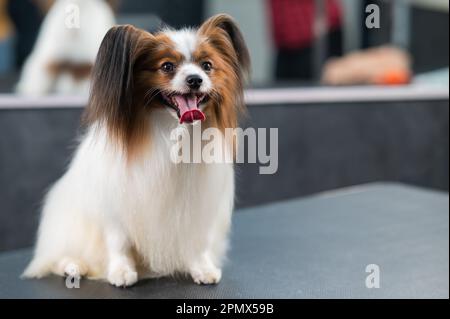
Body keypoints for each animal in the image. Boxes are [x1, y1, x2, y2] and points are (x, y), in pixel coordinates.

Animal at [23, 14, 250, 288]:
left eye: (207, 66)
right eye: (167, 66)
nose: (195, 79)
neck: (172, 129)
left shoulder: (198, 204)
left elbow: (197, 243)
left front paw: (202, 268)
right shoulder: (116, 204)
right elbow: (118, 242)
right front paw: (121, 271)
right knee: (58, 256)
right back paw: (73, 266)